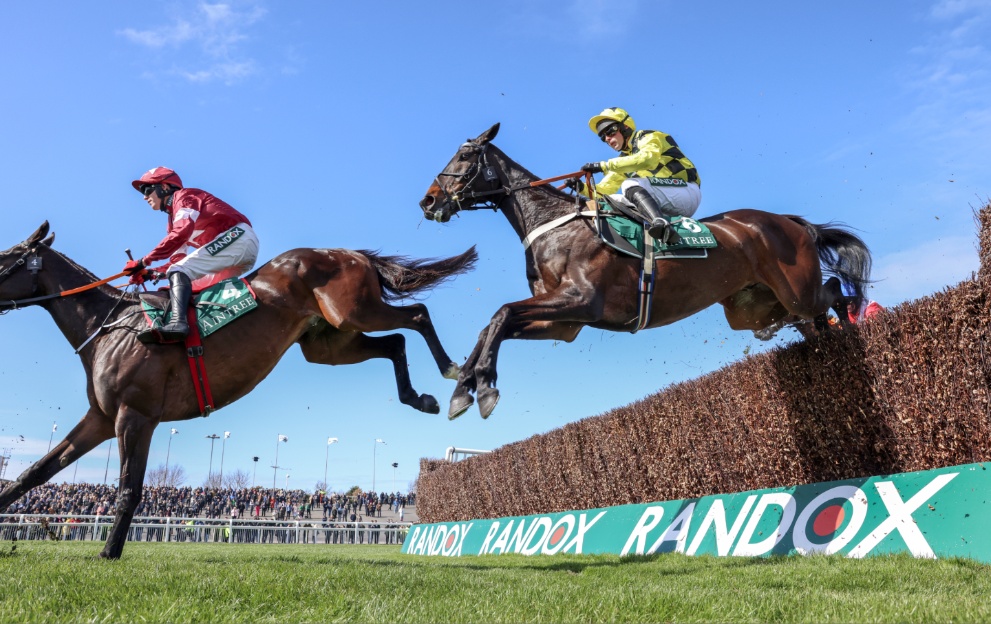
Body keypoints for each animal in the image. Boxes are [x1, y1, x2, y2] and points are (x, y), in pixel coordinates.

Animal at [0, 222, 476, 560]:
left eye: (5, 259)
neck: (111, 328)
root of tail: (351, 253)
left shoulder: (136, 415)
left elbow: (128, 489)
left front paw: (109, 552)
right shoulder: (100, 418)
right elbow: (35, 472)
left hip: (355, 310)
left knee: (417, 314)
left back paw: (460, 376)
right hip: (329, 343)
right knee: (394, 343)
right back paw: (421, 397)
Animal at [418, 124, 876, 422]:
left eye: (464, 156)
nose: (428, 201)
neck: (554, 224)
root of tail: (790, 222)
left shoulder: (581, 301)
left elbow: (501, 313)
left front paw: (483, 387)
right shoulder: (564, 322)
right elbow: (493, 324)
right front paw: (463, 386)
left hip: (796, 289)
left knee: (834, 291)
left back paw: (850, 326)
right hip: (753, 309)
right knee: (808, 320)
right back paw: (826, 347)